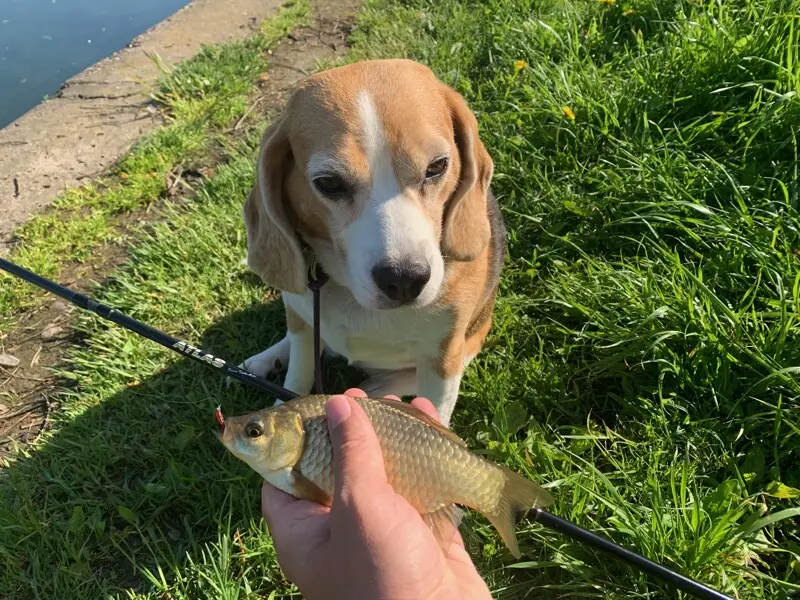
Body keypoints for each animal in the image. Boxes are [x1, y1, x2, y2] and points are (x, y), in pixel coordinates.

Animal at [239, 58, 506, 426]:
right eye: (329, 183)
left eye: (437, 167)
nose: (405, 280)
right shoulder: (304, 321)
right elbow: (298, 374)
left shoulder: (445, 357)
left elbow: (434, 411)